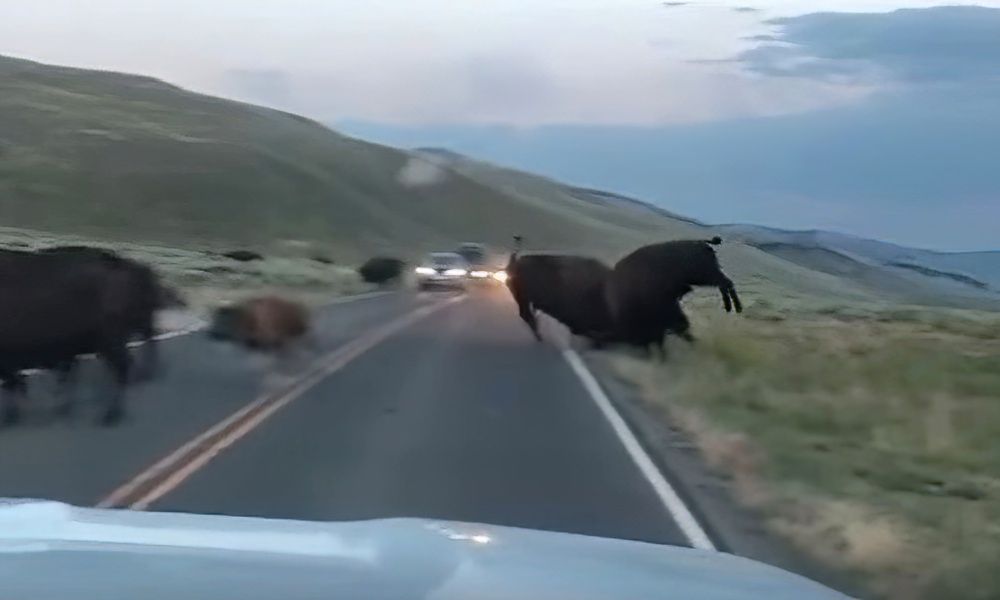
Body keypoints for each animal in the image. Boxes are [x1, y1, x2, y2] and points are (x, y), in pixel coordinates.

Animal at [600, 237, 744, 354]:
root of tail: (701, 242)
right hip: (704, 277)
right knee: (724, 284)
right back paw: (730, 307)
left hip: (704, 275)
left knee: (726, 283)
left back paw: (736, 307)